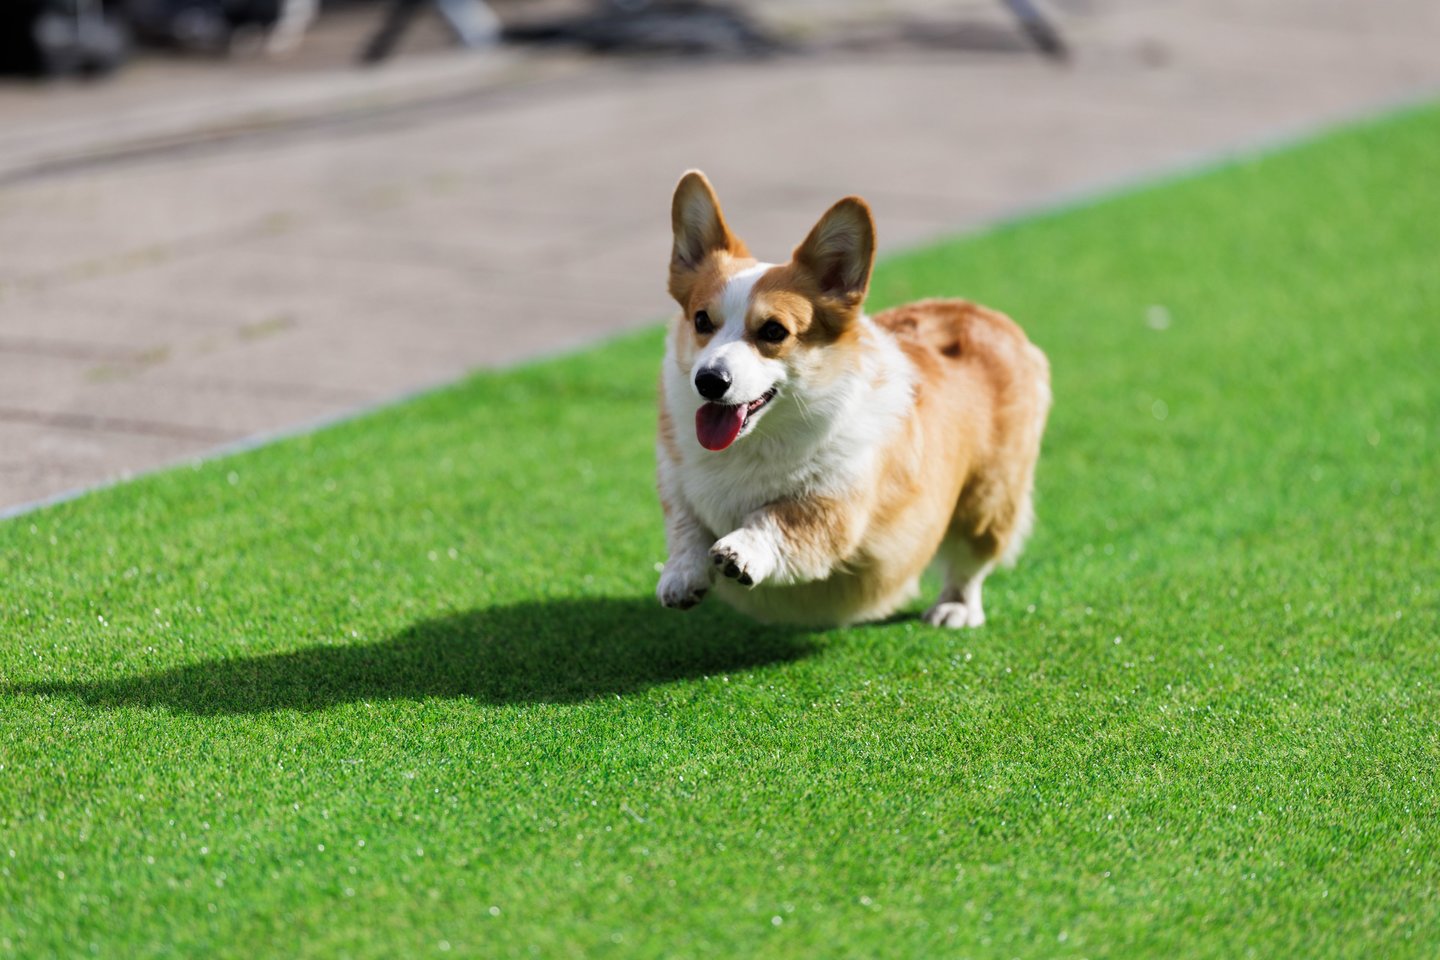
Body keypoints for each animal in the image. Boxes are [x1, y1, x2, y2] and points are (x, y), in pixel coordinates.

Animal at [655, 171, 1051, 628]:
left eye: (773, 331)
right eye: (702, 321)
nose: (709, 381)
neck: (754, 445)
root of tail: (984, 313)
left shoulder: (833, 508)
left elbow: (776, 518)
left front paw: (741, 549)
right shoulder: (676, 483)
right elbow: (686, 529)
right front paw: (681, 575)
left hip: (988, 501)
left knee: (971, 560)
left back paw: (955, 607)